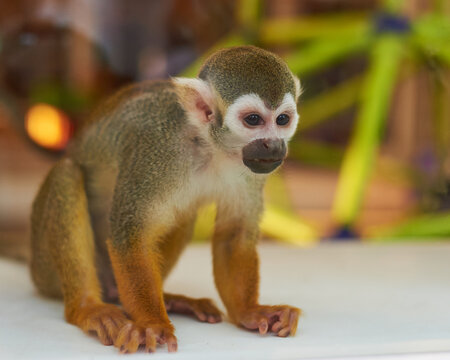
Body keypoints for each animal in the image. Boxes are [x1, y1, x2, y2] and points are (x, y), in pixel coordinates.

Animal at [30, 46, 302, 352]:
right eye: (253, 120)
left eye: (282, 120)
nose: (273, 145)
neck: (209, 145)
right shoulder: (156, 150)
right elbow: (131, 234)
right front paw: (152, 324)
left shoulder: (252, 169)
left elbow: (235, 234)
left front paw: (250, 313)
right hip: (46, 269)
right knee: (66, 174)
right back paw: (87, 308)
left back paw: (169, 300)